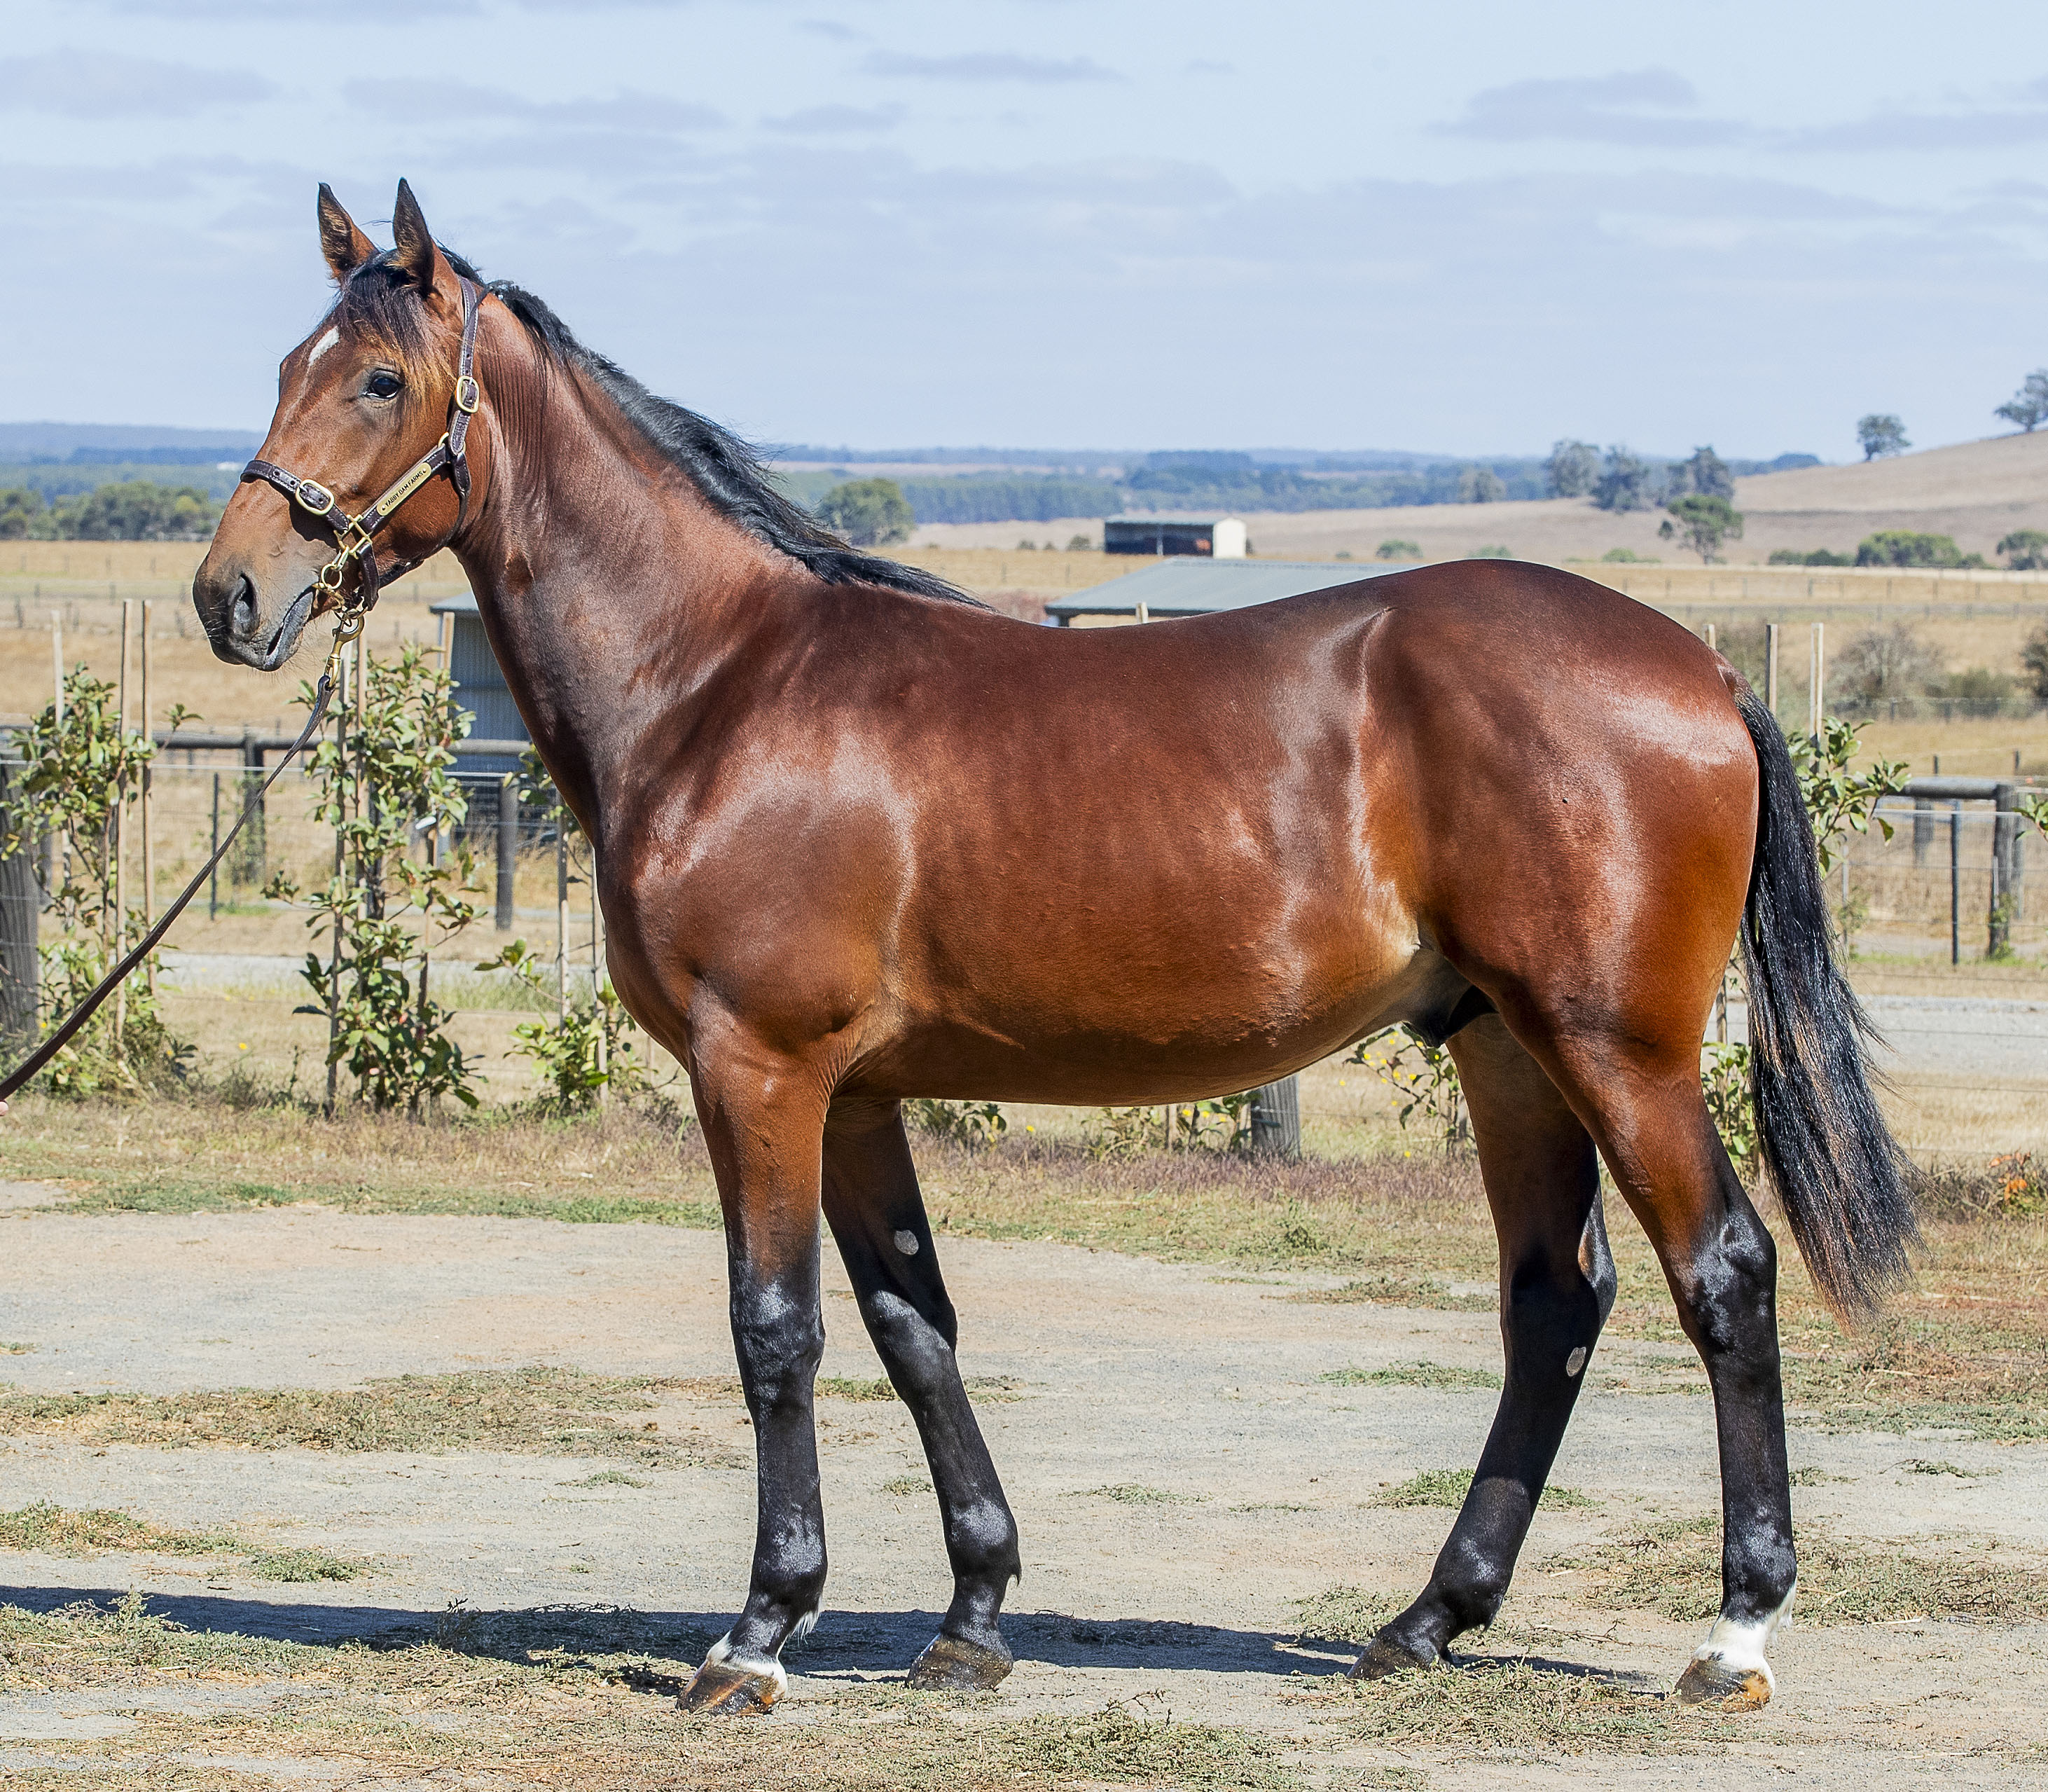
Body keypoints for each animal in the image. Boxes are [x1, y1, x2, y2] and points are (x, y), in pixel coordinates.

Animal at [192, 181, 1915, 1717]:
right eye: (281, 364)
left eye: (378, 379)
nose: (231, 594)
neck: (715, 685)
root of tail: (1698, 665)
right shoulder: (855, 1093)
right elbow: (913, 1326)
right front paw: (971, 1614)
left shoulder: (760, 1069)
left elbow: (776, 1330)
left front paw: (758, 1634)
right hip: (1503, 1047)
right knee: (1551, 1301)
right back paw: (1426, 1619)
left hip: (1612, 1046)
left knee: (1723, 1272)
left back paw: (1731, 1634)